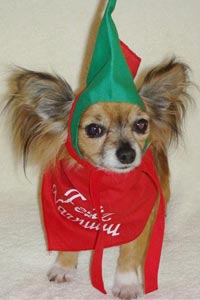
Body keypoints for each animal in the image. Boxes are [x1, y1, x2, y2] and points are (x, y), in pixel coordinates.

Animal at [4, 58, 191, 298]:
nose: (127, 154)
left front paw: (126, 283)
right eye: (94, 129)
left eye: (141, 125)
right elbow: (68, 241)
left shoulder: (139, 218)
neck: (103, 182)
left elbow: (130, 252)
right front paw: (64, 267)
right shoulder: (66, 211)